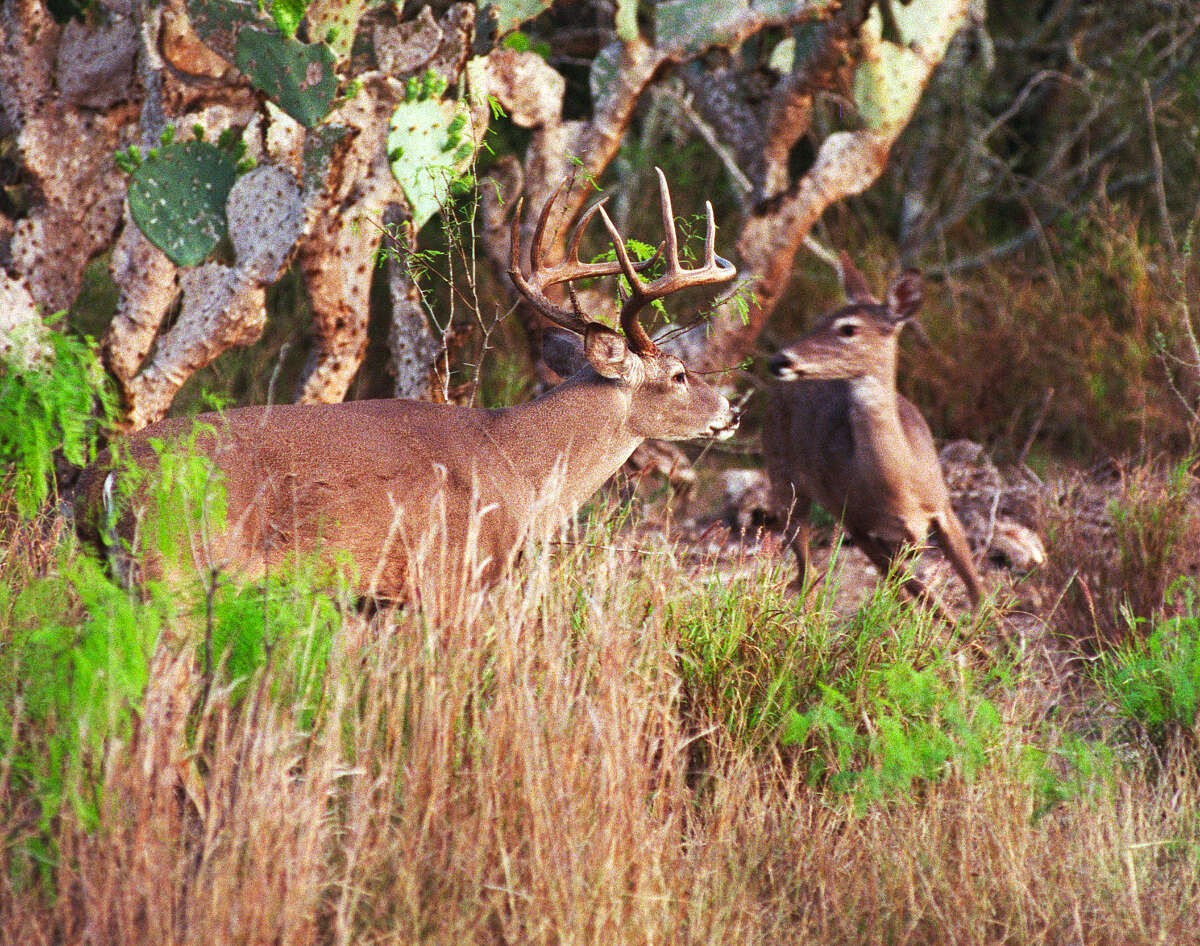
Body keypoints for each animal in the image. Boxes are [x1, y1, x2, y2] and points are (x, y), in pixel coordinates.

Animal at [78, 168, 739, 606]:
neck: (517, 463)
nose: (730, 412)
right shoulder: (450, 576)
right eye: (679, 375)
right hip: (177, 570)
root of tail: (100, 481)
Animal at [762, 253, 983, 620]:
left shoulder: (943, 508)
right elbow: (929, 601)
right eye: (821, 319)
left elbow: (977, 593)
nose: (779, 360)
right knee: (808, 569)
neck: (900, 487)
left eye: (848, 328)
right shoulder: (856, 523)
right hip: (784, 480)